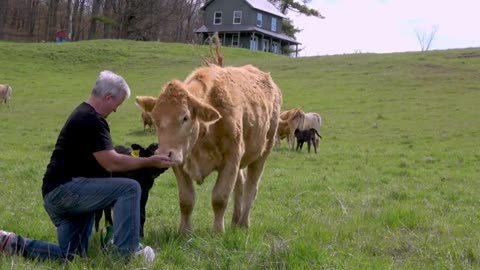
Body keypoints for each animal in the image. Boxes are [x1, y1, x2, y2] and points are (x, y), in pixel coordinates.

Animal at [152, 63, 284, 234]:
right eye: (155, 119)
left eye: (185, 117)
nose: (163, 154)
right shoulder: (180, 162)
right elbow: (186, 200)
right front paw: (184, 231)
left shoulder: (231, 158)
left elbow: (220, 197)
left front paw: (217, 232)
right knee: (240, 186)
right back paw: (235, 220)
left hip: (263, 153)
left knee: (251, 188)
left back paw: (243, 223)